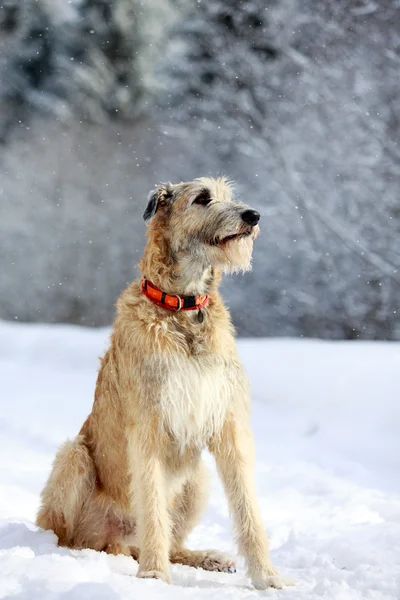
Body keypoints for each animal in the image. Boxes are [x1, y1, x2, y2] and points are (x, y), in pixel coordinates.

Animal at [36, 178, 288, 592]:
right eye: (202, 198)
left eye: (230, 195)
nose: (253, 215)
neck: (182, 306)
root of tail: (118, 541)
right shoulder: (149, 424)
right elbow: (152, 506)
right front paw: (154, 576)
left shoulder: (228, 420)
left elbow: (248, 507)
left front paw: (268, 576)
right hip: (73, 458)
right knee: (70, 534)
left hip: (197, 480)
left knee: (170, 540)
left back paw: (204, 557)